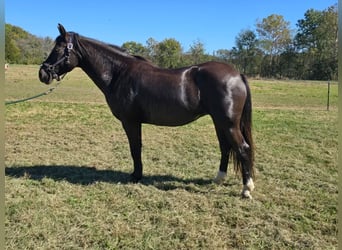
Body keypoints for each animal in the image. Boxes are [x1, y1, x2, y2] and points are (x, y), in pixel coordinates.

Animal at [38, 24, 255, 198]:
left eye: (59, 48)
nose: (43, 73)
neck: (118, 73)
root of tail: (237, 74)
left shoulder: (130, 121)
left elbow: (135, 148)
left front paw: (136, 176)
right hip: (220, 122)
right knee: (226, 148)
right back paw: (219, 179)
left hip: (228, 124)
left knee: (242, 148)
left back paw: (246, 189)